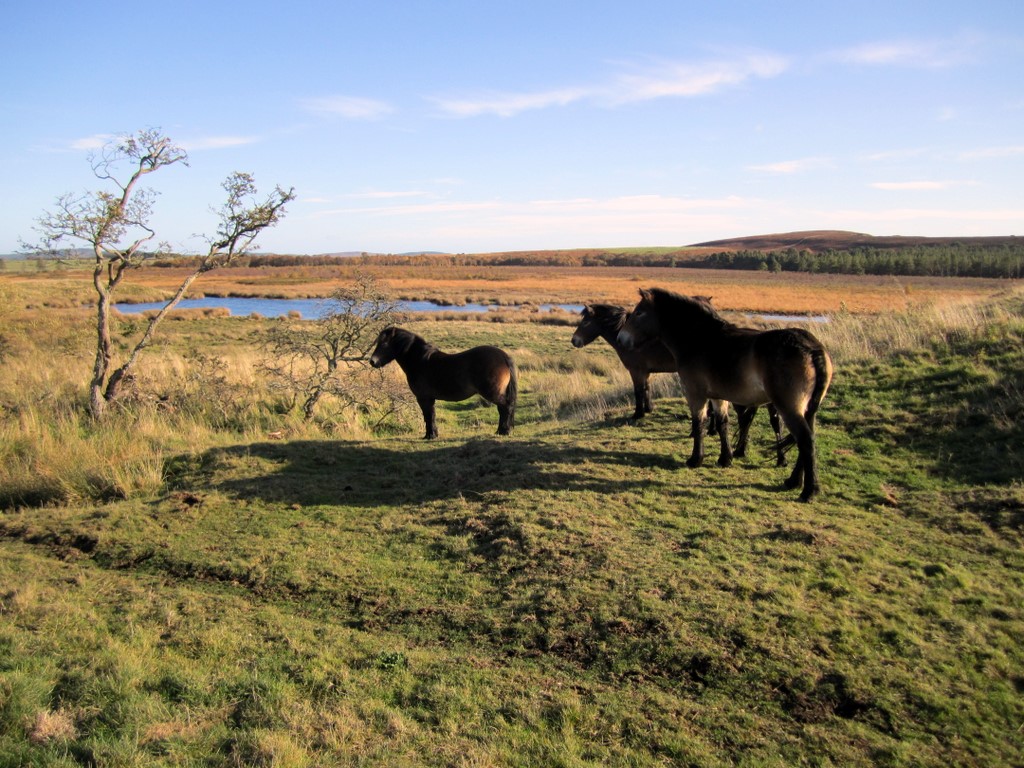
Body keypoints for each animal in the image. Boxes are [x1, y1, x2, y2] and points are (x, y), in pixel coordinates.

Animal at [369, 326, 517, 439]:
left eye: (384, 344)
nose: (372, 361)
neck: (420, 362)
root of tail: (503, 356)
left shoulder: (423, 398)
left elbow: (428, 416)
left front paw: (429, 436)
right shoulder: (429, 398)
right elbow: (432, 415)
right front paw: (433, 434)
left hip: (493, 393)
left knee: (506, 407)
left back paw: (504, 431)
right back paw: (501, 431)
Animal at [572, 303, 787, 465]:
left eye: (585, 321)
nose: (574, 341)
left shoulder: (637, 371)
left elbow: (638, 391)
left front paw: (637, 414)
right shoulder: (646, 373)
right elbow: (647, 390)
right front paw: (648, 409)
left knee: (746, 416)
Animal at [617, 288, 833, 501]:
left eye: (639, 312)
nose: (621, 338)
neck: (698, 339)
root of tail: (813, 349)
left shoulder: (695, 394)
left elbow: (699, 424)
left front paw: (695, 459)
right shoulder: (717, 396)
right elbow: (722, 424)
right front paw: (725, 458)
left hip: (788, 409)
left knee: (805, 440)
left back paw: (808, 491)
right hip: (808, 410)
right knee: (807, 439)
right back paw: (793, 481)